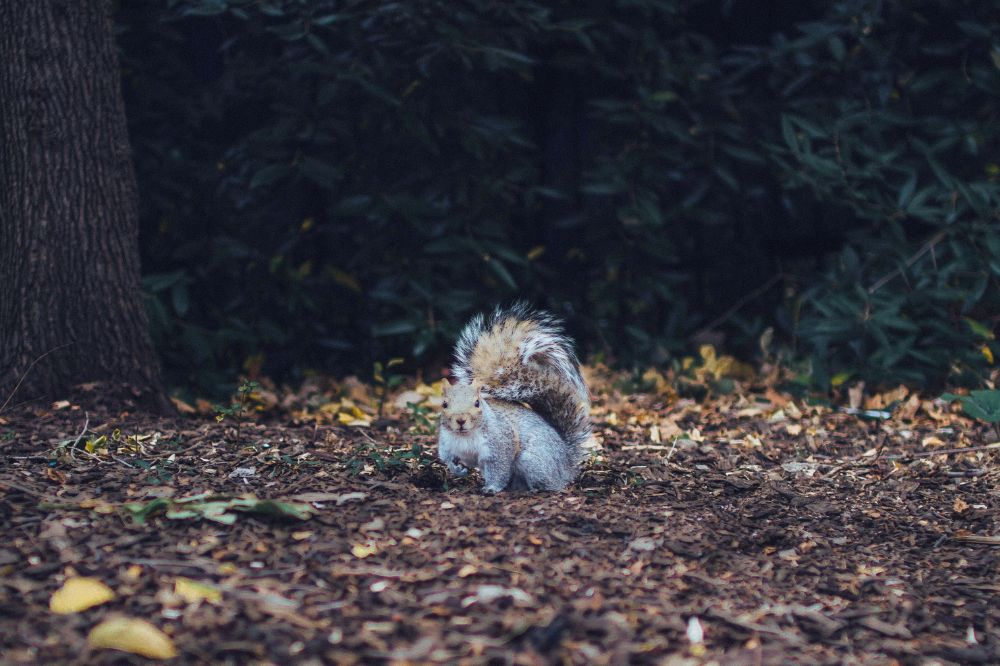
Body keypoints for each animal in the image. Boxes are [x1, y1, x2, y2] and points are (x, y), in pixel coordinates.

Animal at [440, 302, 592, 492]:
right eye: (444, 404)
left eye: (477, 403)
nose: (460, 420)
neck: (465, 436)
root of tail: (567, 463)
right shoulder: (446, 443)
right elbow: (446, 458)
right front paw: (457, 469)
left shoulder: (501, 442)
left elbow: (499, 468)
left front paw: (492, 488)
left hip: (533, 461)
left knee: (553, 483)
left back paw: (536, 489)